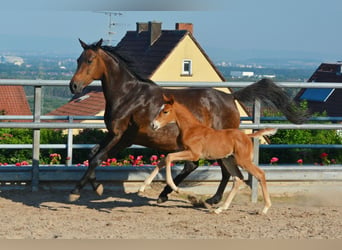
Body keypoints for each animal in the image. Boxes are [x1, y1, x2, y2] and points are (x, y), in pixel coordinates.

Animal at [68, 38, 308, 203]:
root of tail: (231, 98)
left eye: (89, 60)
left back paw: (207, 199)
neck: (128, 95)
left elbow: (97, 158)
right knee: (206, 167)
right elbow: (92, 155)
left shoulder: (122, 136)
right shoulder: (114, 135)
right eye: (78, 59)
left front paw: (76, 191)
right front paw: (96, 186)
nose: (74, 86)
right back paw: (176, 195)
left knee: (216, 170)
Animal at [140, 95, 276, 215]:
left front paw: (175, 188)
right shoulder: (185, 151)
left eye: (165, 111)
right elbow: (162, 160)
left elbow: (168, 158)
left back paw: (265, 209)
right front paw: (142, 187)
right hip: (228, 160)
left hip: (243, 160)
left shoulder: (193, 154)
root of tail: (247, 136)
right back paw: (220, 209)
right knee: (238, 178)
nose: (153, 125)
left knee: (260, 174)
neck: (191, 129)